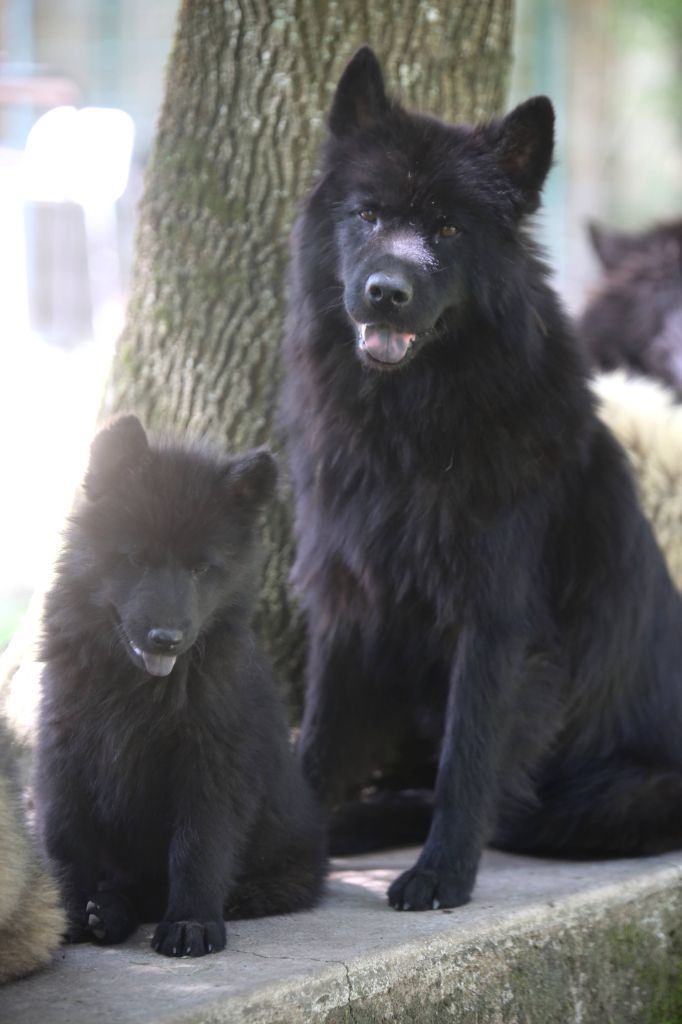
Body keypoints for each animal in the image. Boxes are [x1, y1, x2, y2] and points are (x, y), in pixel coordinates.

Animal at [33, 413, 325, 950]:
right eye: (137, 559)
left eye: (200, 568)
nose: (167, 640)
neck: (136, 687)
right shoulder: (63, 750)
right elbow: (64, 837)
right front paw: (65, 913)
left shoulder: (211, 761)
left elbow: (198, 845)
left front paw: (191, 921)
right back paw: (105, 911)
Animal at [280, 48, 679, 913]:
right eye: (368, 215)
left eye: (447, 228)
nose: (386, 292)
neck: (411, 430)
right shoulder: (348, 603)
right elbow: (321, 736)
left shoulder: (496, 620)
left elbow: (469, 759)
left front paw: (440, 874)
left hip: (618, 796)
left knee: (511, 806)